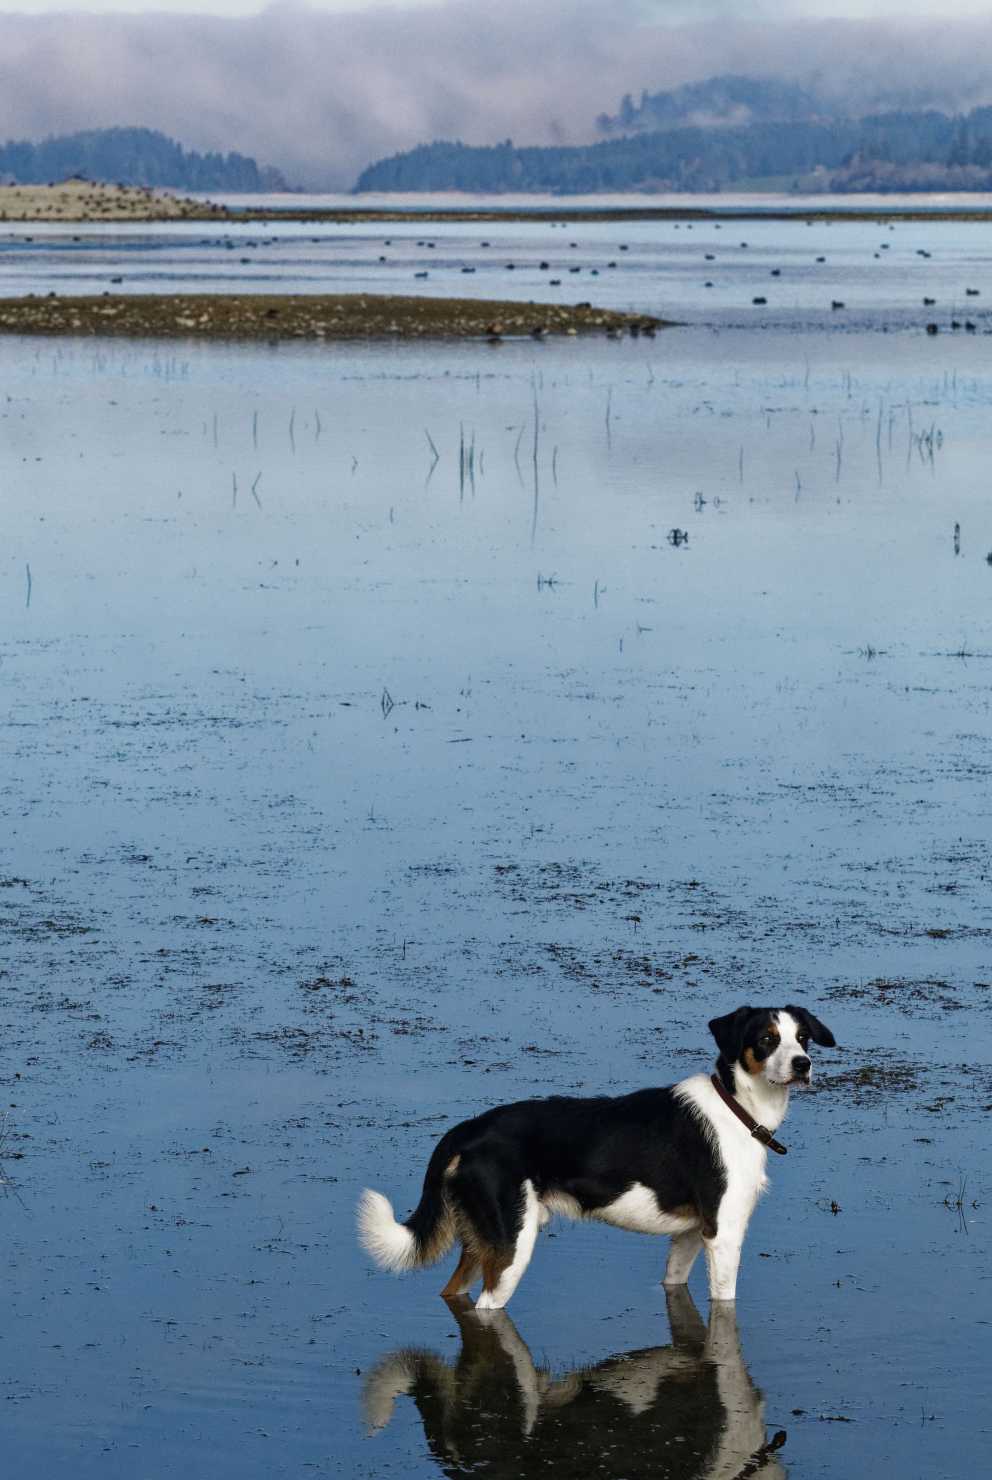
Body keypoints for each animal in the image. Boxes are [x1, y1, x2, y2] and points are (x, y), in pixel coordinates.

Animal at [359, 1006, 840, 1308]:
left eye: (802, 1038)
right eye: (766, 1040)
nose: (803, 1064)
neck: (738, 1109)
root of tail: (466, 1131)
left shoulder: (687, 1237)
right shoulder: (722, 1236)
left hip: (482, 1241)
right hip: (511, 1246)